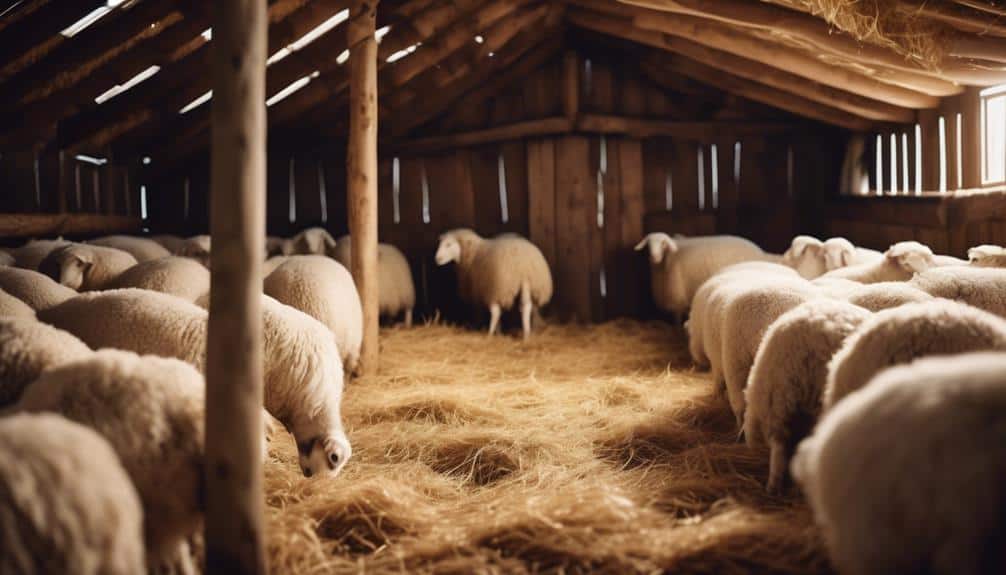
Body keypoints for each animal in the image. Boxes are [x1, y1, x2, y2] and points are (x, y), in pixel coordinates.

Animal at [634, 232, 770, 322]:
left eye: (663, 244)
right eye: (648, 245)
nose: (654, 257)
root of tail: (761, 253)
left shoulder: (677, 298)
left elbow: (677, 320)